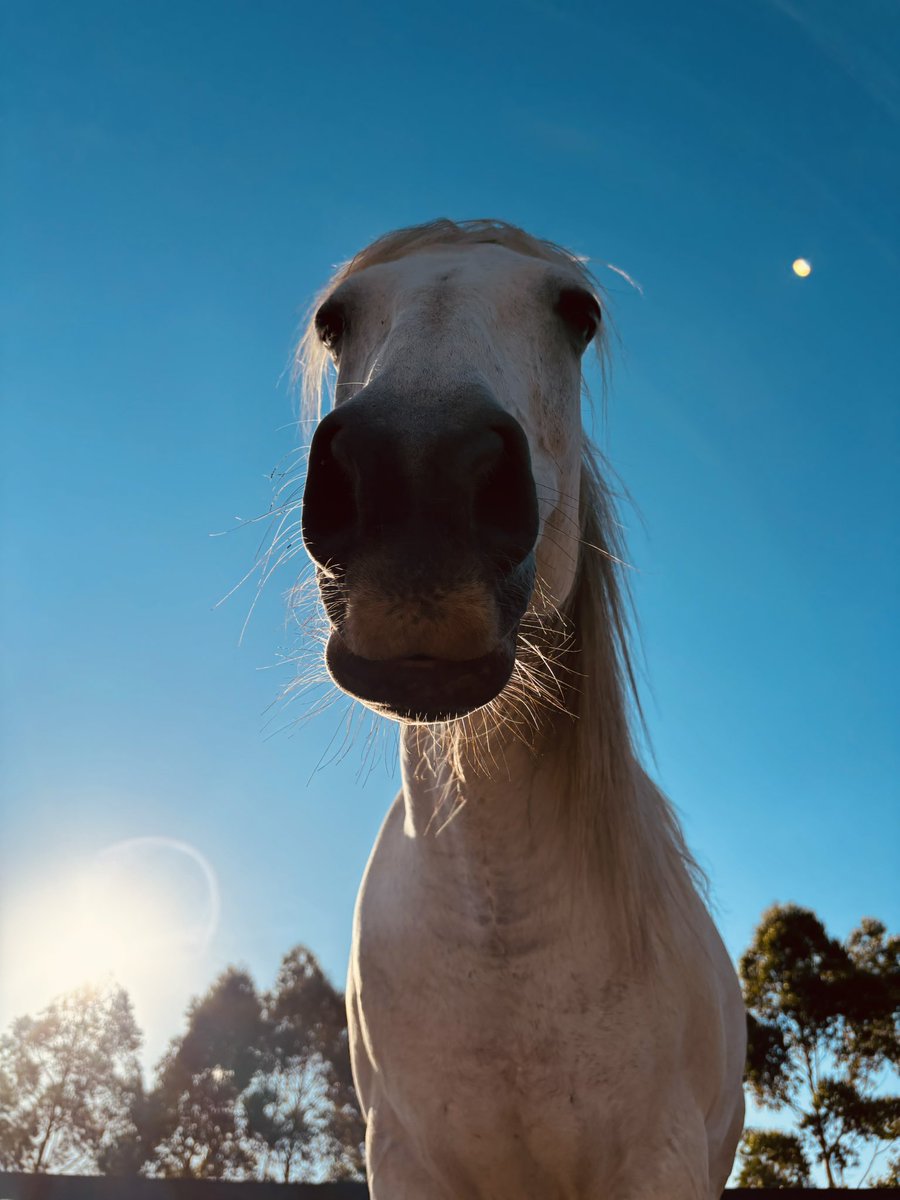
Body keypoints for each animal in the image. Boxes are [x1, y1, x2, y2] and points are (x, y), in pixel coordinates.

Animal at [296, 219, 746, 1199]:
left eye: (577, 313)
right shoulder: (404, 1161)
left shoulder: (659, 1159)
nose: (418, 470)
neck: (499, 931)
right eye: (333, 320)